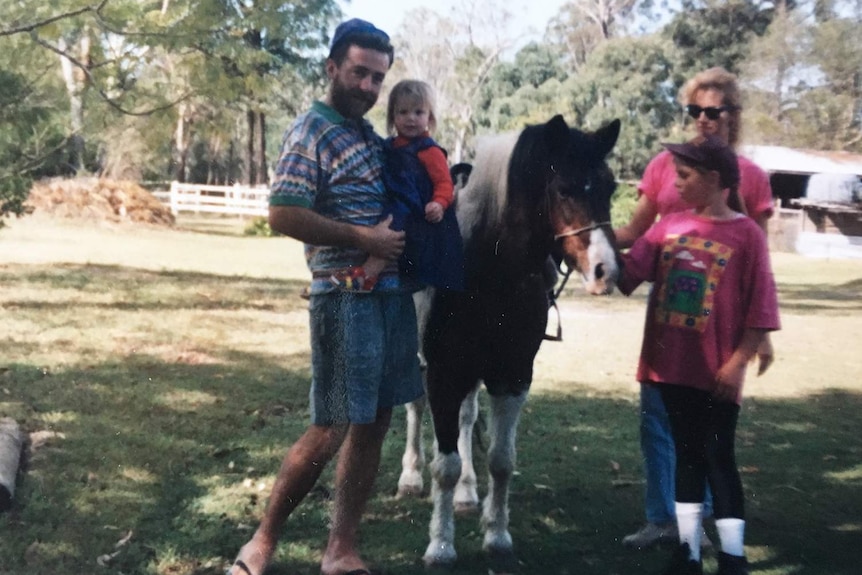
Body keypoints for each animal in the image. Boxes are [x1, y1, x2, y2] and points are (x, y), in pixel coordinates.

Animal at [412, 113, 620, 572]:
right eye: (564, 189)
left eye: (610, 187)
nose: (606, 270)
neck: (489, 274)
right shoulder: (442, 373)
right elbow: (445, 464)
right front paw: (440, 545)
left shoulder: (513, 375)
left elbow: (501, 461)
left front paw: (497, 535)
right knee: (415, 411)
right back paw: (411, 476)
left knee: (467, 419)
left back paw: (468, 493)